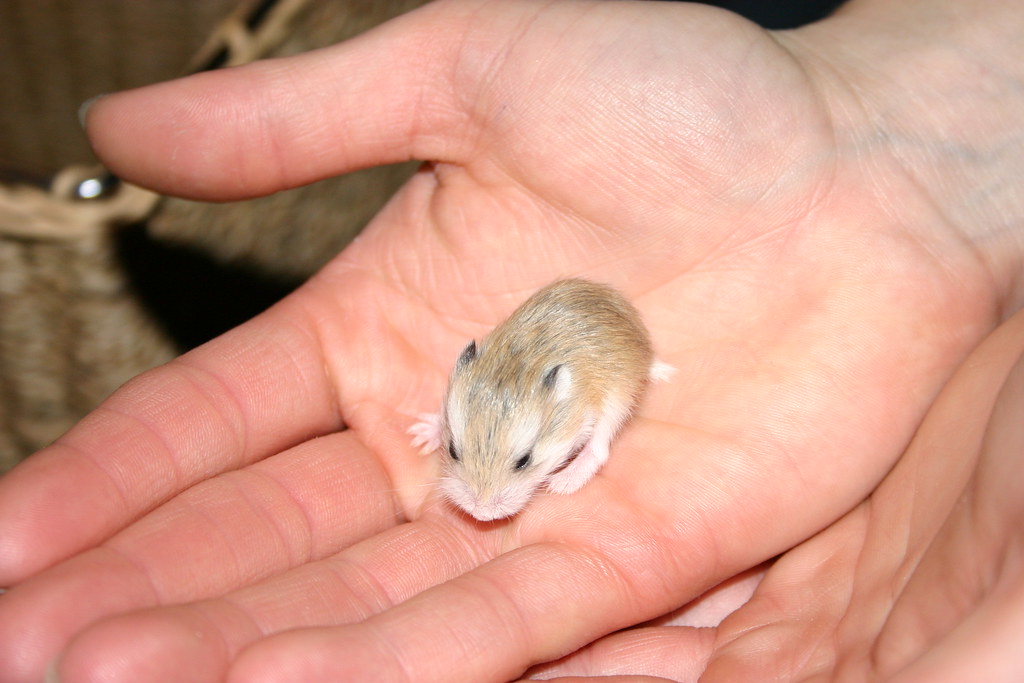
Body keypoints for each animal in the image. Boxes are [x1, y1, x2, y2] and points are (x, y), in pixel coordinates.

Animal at [408, 279, 673, 521]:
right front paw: (420, 435)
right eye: (452, 450)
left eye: (524, 460)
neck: (517, 362)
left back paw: (563, 483)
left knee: (599, 449)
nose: (480, 513)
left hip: (617, 400)